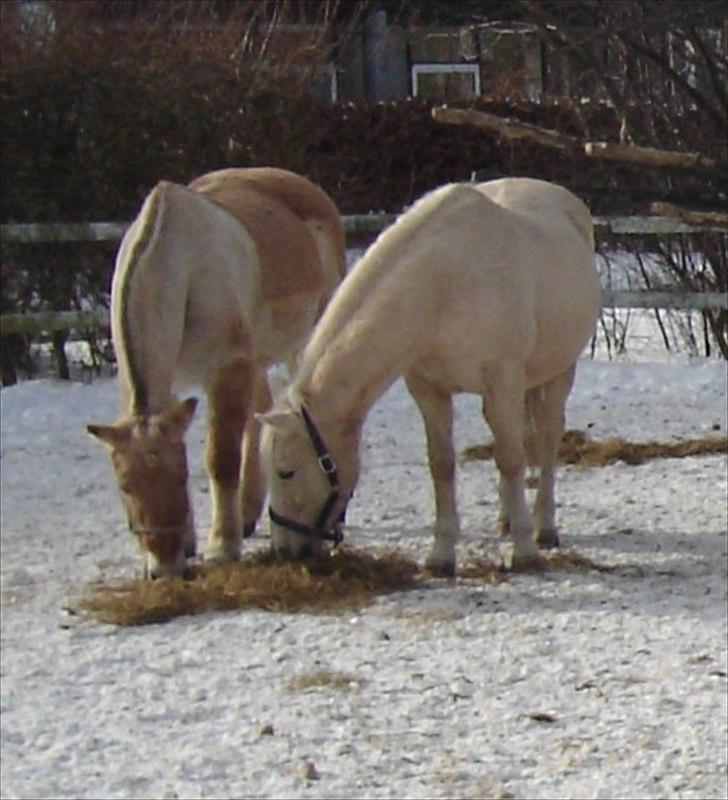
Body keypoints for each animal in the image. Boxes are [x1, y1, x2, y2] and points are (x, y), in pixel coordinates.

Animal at [85, 169, 346, 580]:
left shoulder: (227, 369)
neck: (184, 264)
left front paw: (222, 546)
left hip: (302, 338)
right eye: (125, 486)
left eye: (180, 477)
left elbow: (221, 459)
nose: (165, 568)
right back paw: (248, 515)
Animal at [258, 177, 600, 572]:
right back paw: (507, 519)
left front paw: (525, 551)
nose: (284, 550)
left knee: (545, 439)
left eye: (285, 471)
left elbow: (512, 459)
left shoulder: (502, 382)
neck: (446, 284)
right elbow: (442, 463)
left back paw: (544, 526)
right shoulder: (428, 389)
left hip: (559, 371)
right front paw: (441, 554)